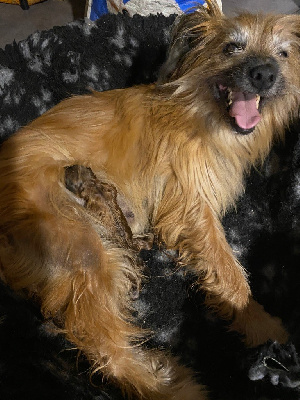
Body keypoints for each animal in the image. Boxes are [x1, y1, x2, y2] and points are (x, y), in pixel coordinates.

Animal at [0, 1, 300, 398]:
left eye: (284, 53)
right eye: (231, 48)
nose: (264, 74)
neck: (200, 113)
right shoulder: (192, 210)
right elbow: (230, 275)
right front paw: (263, 329)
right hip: (80, 248)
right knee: (104, 347)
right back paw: (169, 386)